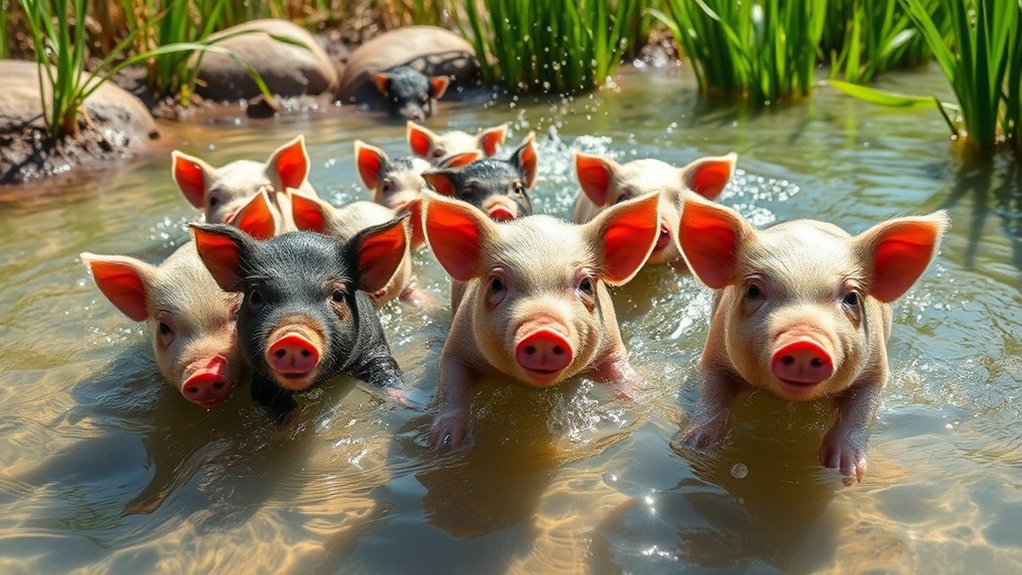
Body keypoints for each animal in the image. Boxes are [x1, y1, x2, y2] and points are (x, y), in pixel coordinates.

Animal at [189, 220, 408, 421]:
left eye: (338, 296)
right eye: (255, 296)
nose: (292, 336)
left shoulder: (373, 346)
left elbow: (386, 371)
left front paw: (403, 400)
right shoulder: (259, 378)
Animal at [421, 190, 663, 448]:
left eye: (586, 285)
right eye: (496, 283)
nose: (543, 331)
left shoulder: (612, 344)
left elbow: (620, 372)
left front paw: (641, 400)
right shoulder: (457, 344)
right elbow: (451, 384)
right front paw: (442, 443)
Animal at [674, 193, 950, 482]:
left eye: (852, 297)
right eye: (753, 290)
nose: (804, 342)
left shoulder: (876, 369)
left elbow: (860, 411)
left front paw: (849, 472)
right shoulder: (715, 353)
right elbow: (712, 393)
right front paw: (691, 445)